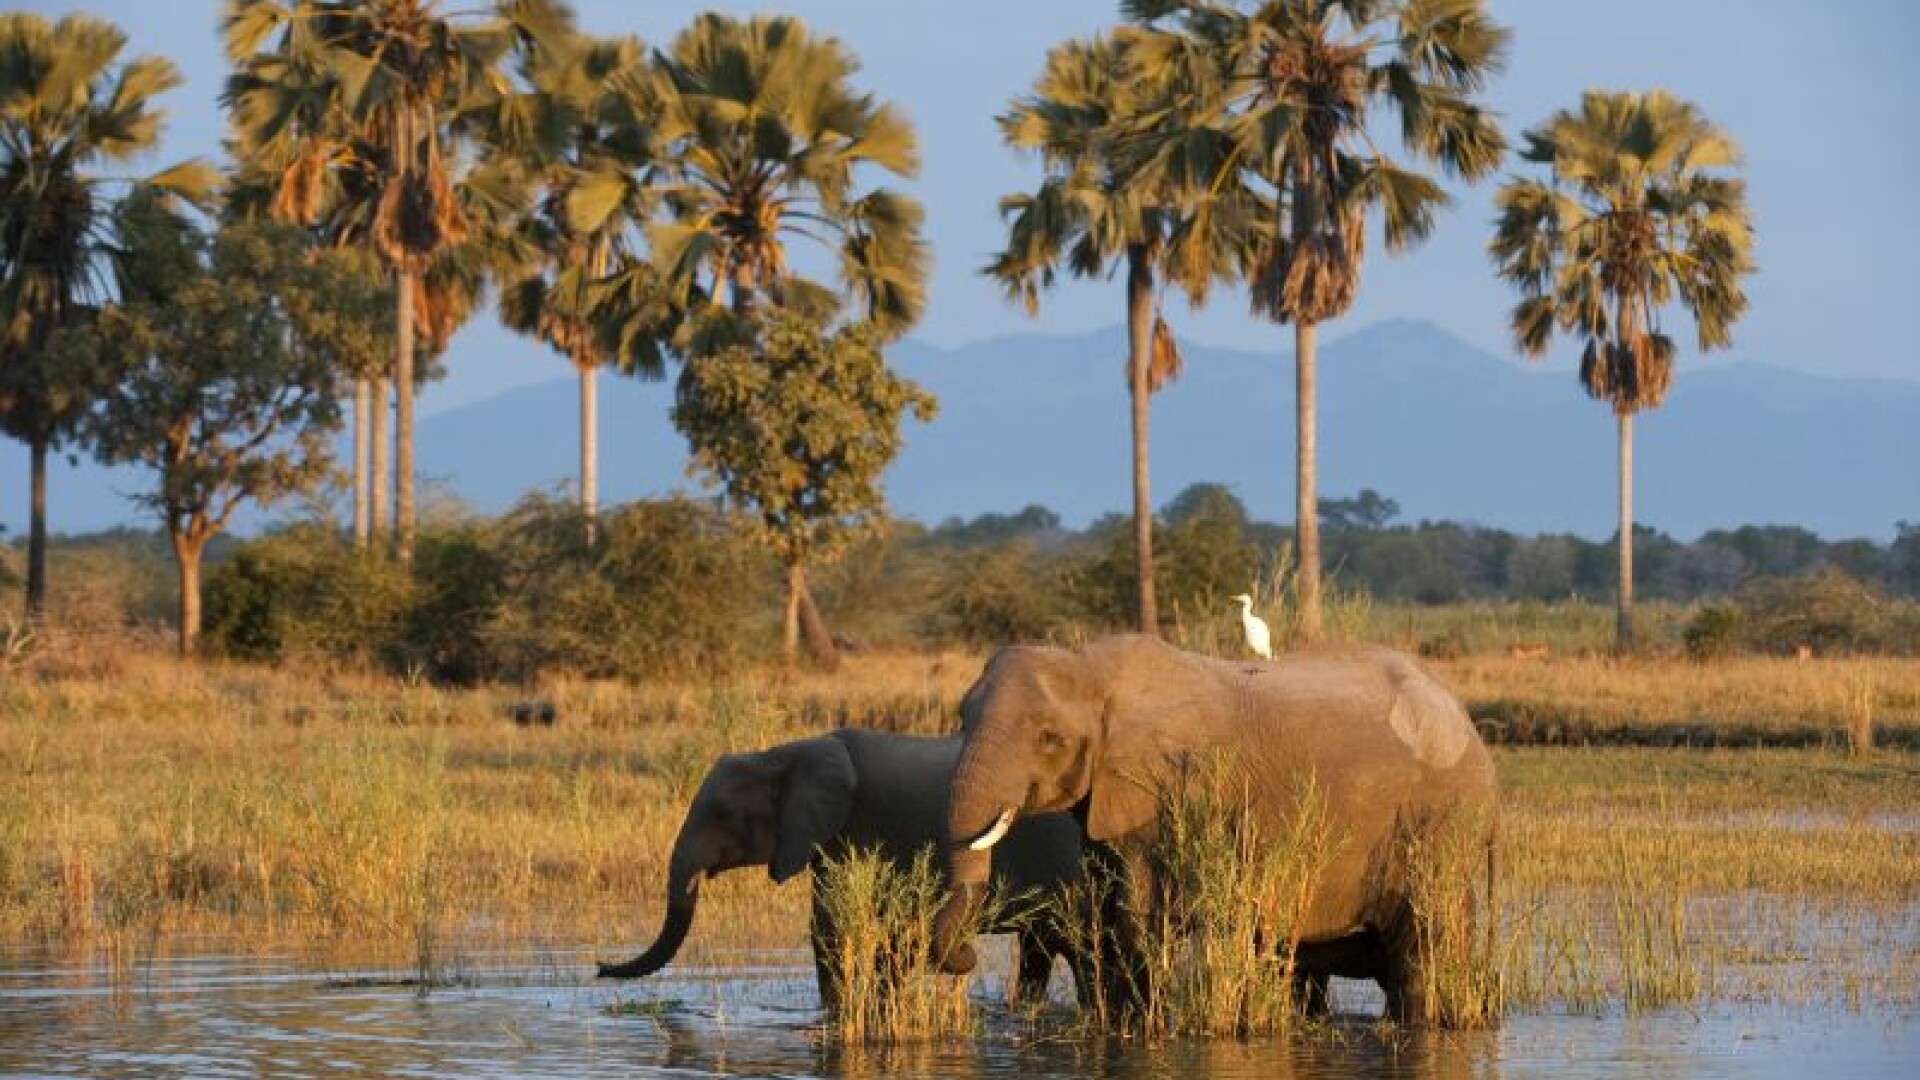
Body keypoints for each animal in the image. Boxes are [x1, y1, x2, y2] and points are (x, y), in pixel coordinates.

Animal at [591, 718, 1090, 1006]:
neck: (787, 752)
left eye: (723, 815)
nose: (597, 968)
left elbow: (835, 925)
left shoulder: (858, 823)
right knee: (1040, 951)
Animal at [929, 630, 1497, 1014]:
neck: (1093, 668)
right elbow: (1109, 913)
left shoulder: (1178, 792)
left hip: (1439, 821)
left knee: (1425, 948)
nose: (967, 956)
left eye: (1049, 738)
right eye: (962, 720)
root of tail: (1464, 717)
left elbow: (1139, 918)